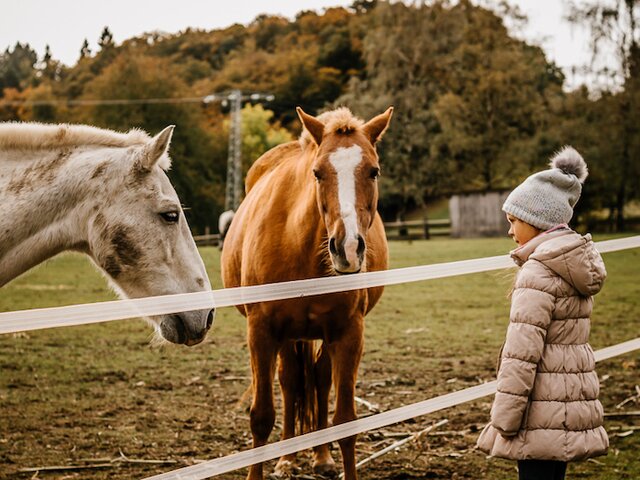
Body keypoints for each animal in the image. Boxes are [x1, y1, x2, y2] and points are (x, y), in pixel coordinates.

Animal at [222, 107, 392, 478]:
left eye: (373, 171)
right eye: (317, 172)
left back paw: (321, 457)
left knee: (317, 380)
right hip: (288, 336)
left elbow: (345, 421)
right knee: (290, 381)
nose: (348, 248)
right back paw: (287, 458)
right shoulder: (261, 332)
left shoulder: (348, 333)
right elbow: (261, 417)